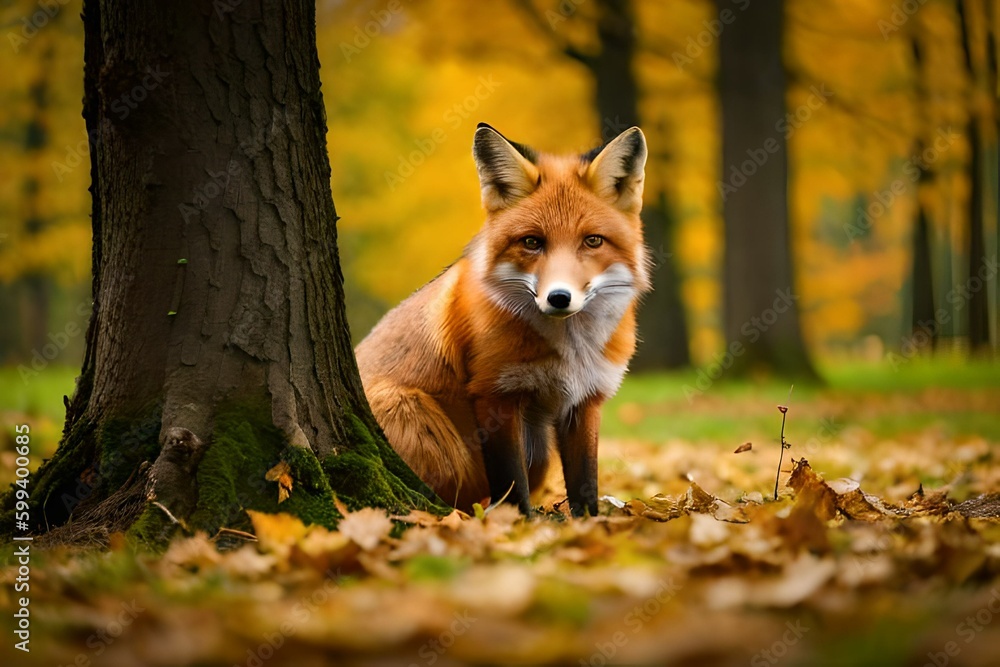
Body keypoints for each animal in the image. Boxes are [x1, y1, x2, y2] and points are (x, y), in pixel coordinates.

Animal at [356, 124, 652, 516]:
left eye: (592, 241)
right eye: (532, 242)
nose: (559, 297)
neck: (572, 349)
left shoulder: (586, 399)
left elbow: (586, 481)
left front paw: (593, 524)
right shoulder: (495, 395)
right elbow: (511, 483)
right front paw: (517, 525)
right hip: (420, 420)